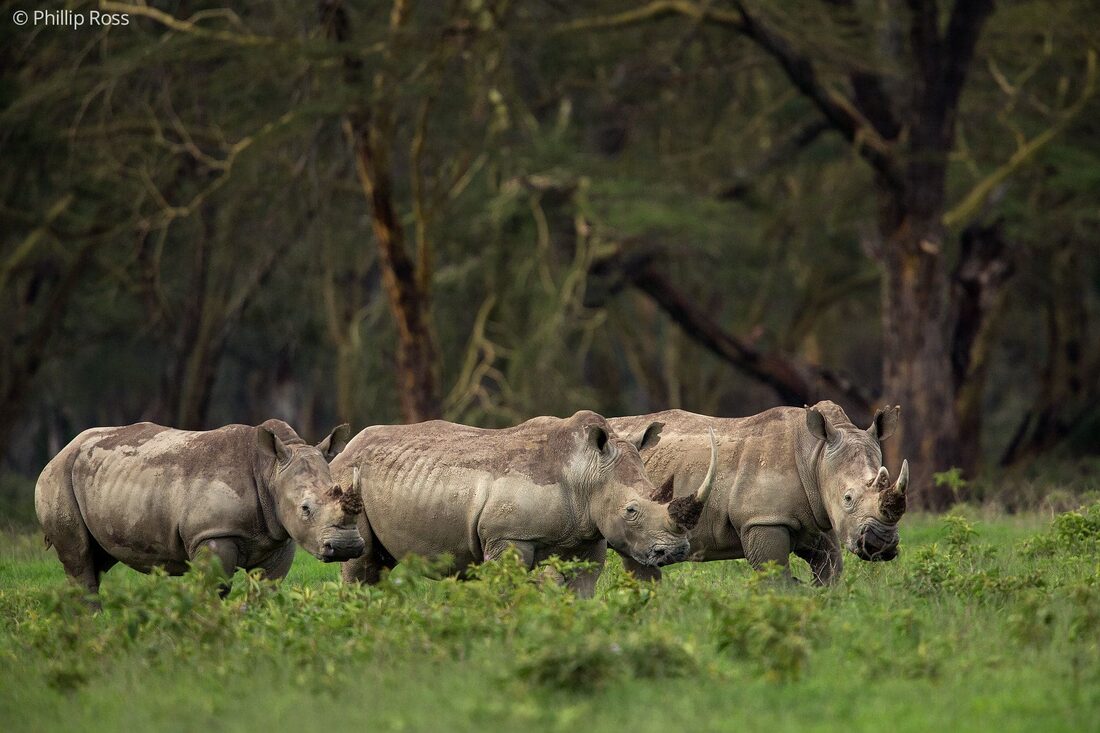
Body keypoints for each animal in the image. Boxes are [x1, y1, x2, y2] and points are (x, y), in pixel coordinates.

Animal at [35, 419, 365, 599]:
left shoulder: (279, 537)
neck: (270, 471)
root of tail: (62, 449)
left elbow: (265, 590)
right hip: (57, 477)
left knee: (98, 558)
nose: (346, 547)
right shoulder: (212, 533)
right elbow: (216, 587)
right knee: (79, 556)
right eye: (305, 508)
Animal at [330, 410, 718, 597]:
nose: (676, 552)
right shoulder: (509, 536)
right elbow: (507, 586)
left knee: (381, 563)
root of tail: (344, 451)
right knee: (362, 562)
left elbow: (582, 590)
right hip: (348, 482)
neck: (586, 473)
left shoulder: (588, 535)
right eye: (631, 511)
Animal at [608, 401, 908, 585]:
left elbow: (831, 570)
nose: (880, 545)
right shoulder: (764, 519)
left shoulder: (814, 516)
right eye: (848, 499)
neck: (815, 455)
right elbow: (775, 575)